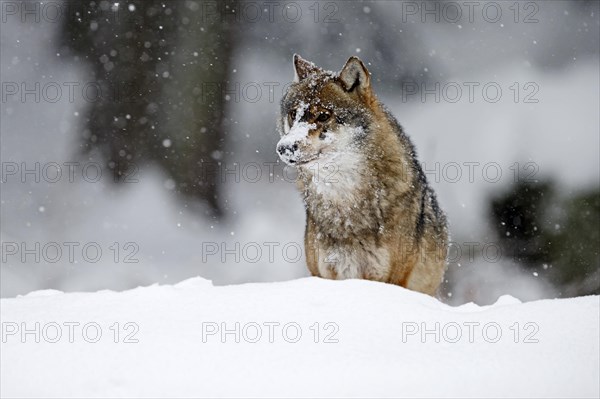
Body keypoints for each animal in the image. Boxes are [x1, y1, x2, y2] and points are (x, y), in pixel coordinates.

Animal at [274, 54, 448, 296]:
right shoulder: (324, 273)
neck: (345, 206)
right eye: (293, 114)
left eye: (323, 116)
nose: (284, 147)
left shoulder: (390, 278)